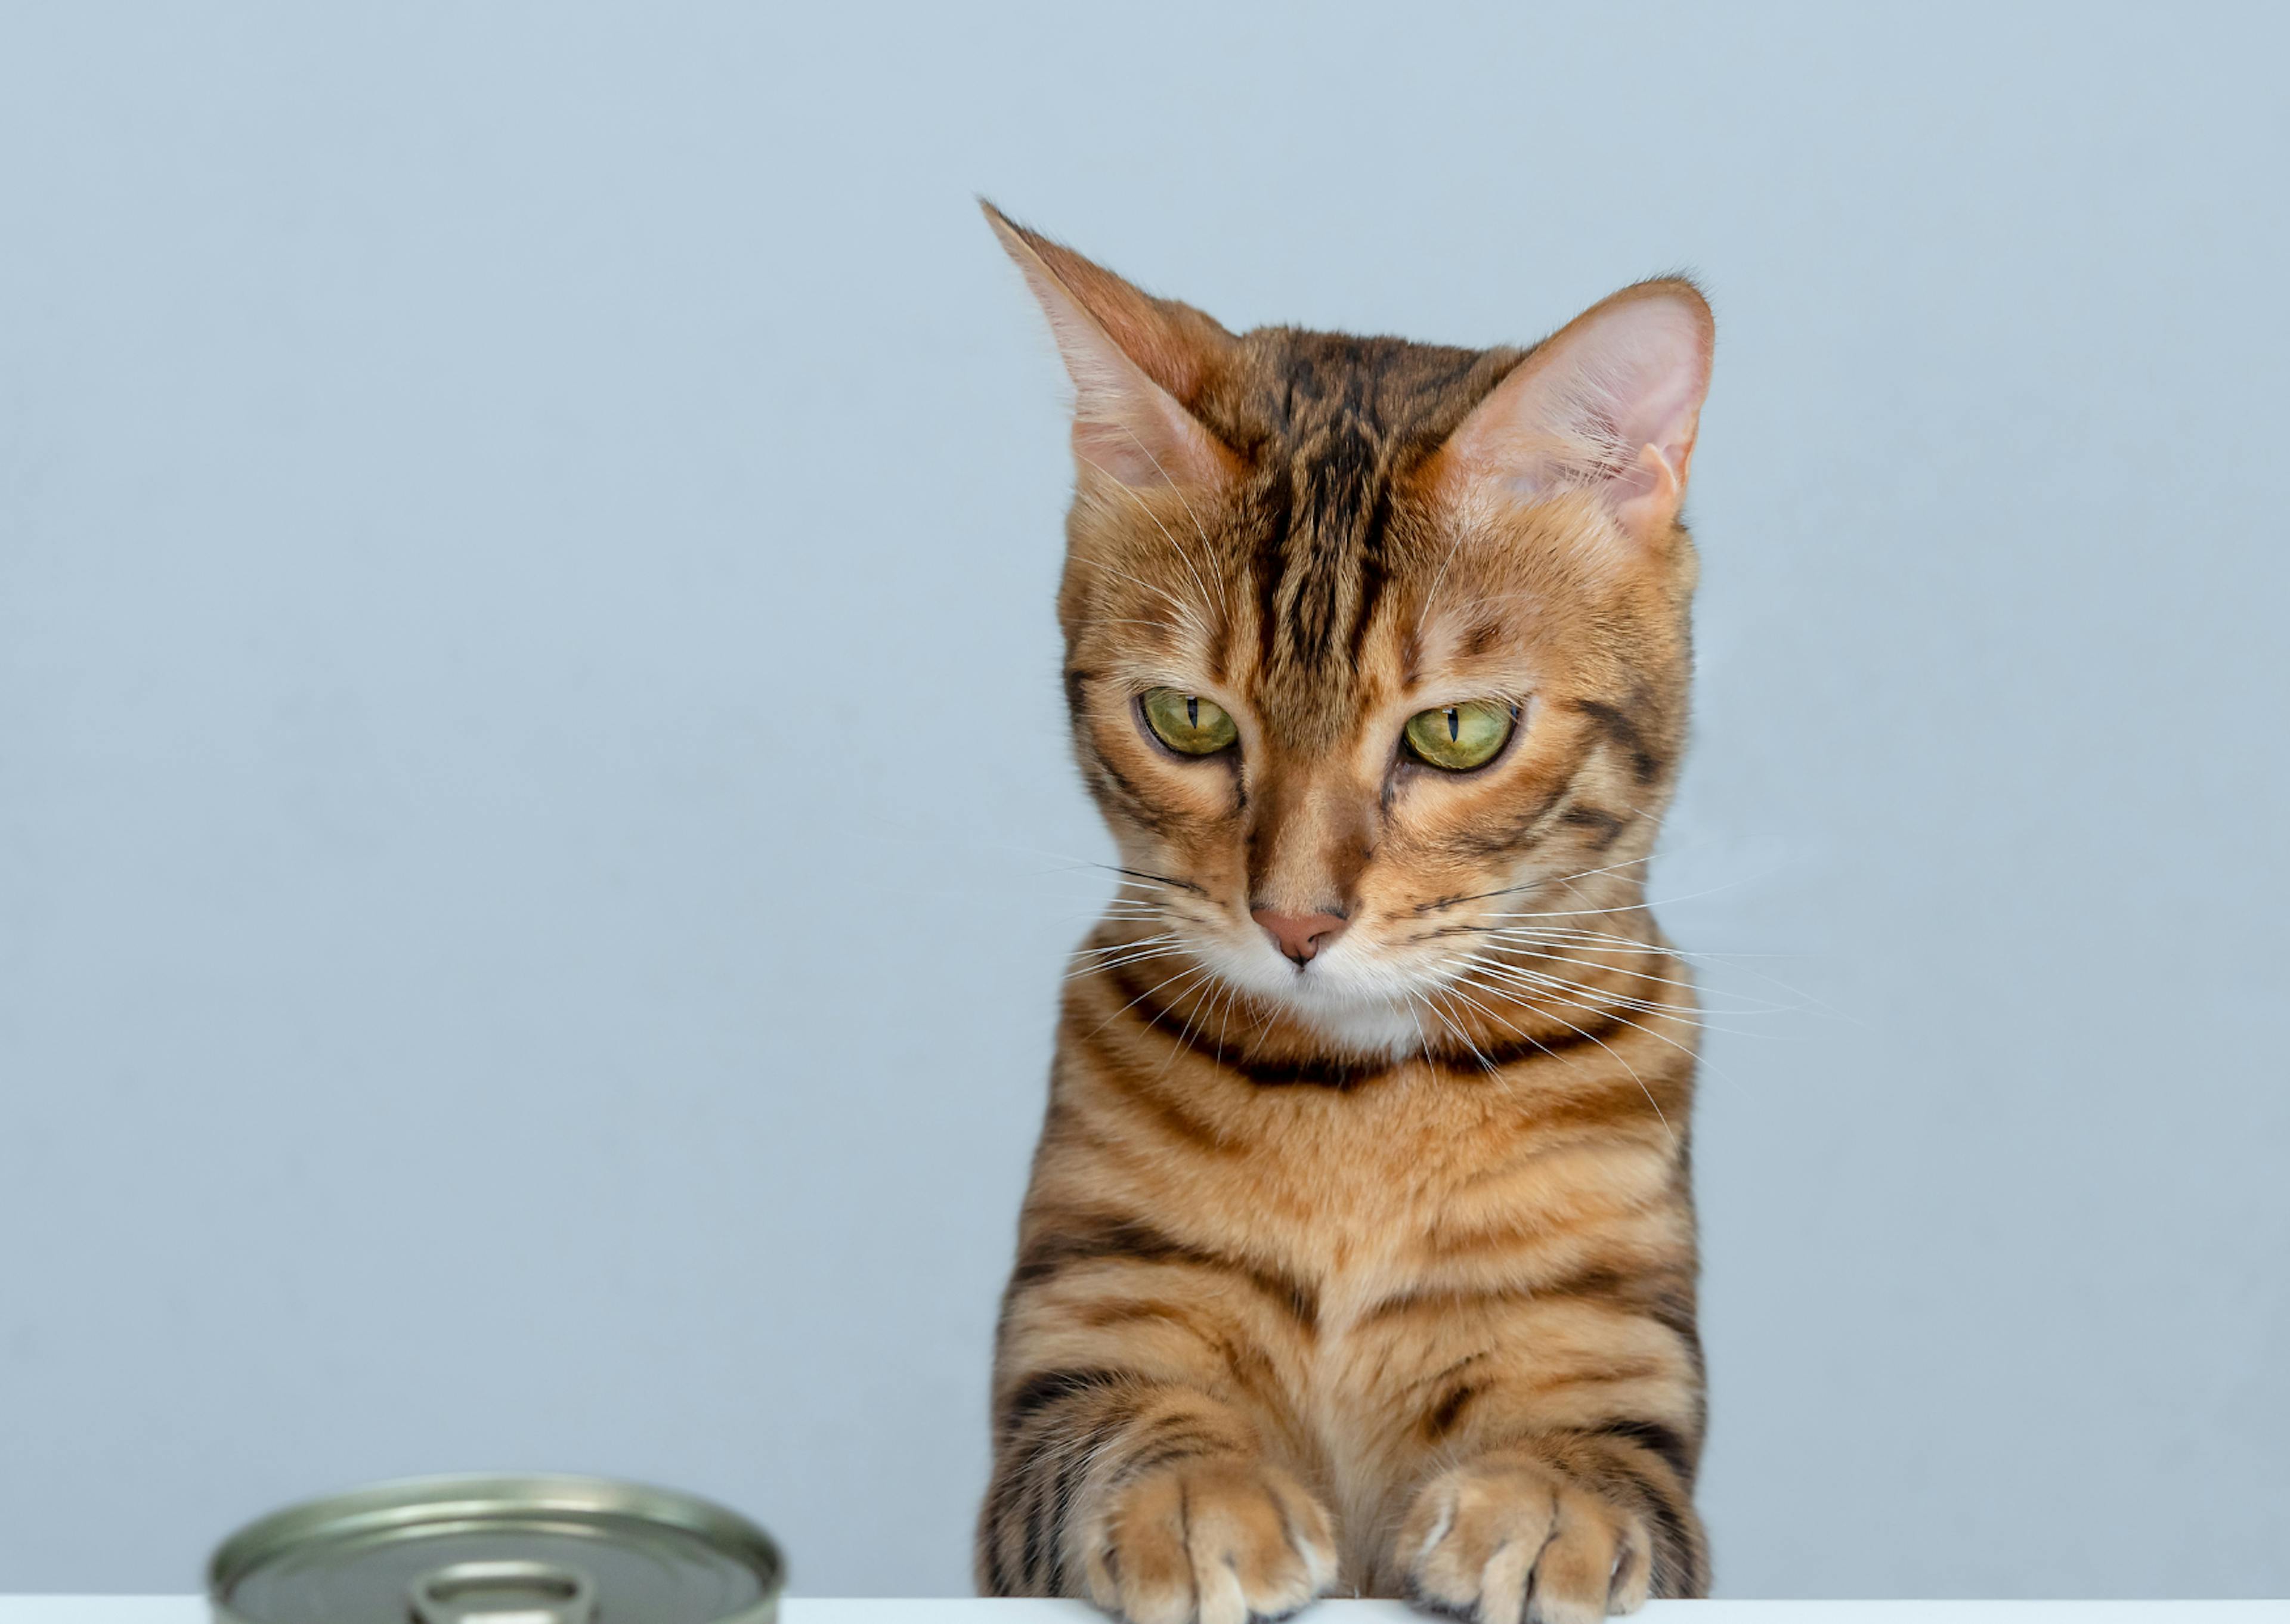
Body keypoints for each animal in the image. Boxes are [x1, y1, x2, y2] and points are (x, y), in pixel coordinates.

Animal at [980, 203, 1722, 1622]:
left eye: (1459, 731)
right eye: (1187, 718)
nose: (1296, 923)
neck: (1359, 1103)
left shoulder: (1613, 1348)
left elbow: (1598, 1449)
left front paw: (1545, 1499)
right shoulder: (1087, 1320)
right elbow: (1122, 1413)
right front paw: (1193, 1490)